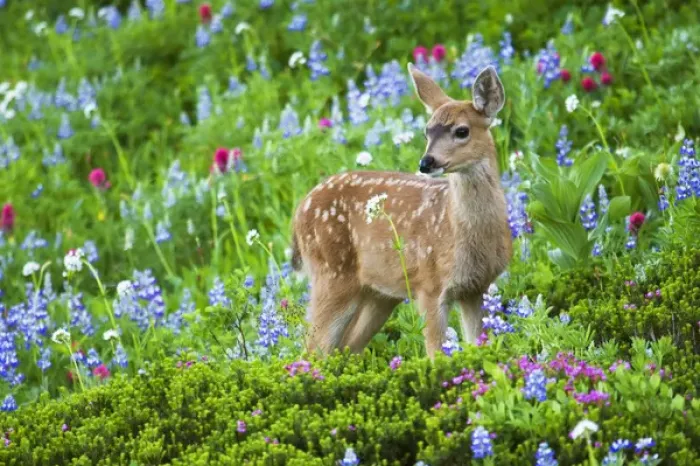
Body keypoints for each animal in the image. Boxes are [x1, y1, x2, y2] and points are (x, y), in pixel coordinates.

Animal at [290, 64, 512, 360]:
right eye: (427, 132)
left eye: (462, 130)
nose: (426, 162)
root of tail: (299, 211)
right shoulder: (429, 285)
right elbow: (436, 354)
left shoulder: (476, 288)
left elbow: (478, 344)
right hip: (332, 273)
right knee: (311, 352)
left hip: (378, 294)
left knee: (347, 347)